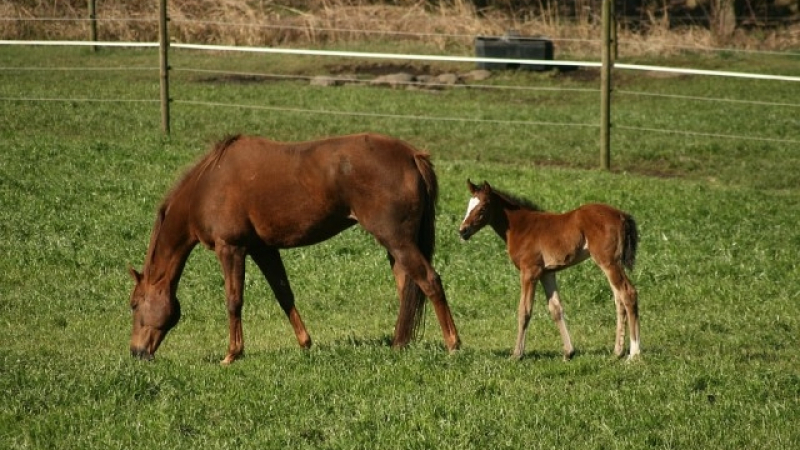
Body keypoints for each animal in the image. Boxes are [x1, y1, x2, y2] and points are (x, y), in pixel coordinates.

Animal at [128, 133, 460, 362]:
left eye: (133, 304)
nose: (136, 352)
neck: (207, 185)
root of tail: (412, 156)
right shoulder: (263, 250)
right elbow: (284, 294)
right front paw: (305, 343)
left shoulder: (231, 249)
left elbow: (234, 301)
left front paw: (232, 353)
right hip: (396, 247)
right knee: (407, 291)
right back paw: (399, 344)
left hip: (398, 241)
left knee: (430, 281)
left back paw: (453, 344)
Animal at [460, 181, 640, 360]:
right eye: (468, 205)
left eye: (482, 208)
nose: (463, 231)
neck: (521, 226)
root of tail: (621, 215)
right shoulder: (546, 273)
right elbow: (556, 309)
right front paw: (569, 352)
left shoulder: (529, 272)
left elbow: (524, 311)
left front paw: (517, 354)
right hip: (612, 264)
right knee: (619, 300)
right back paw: (617, 351)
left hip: (608, 262)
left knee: (628, 293)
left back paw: (634, 353)